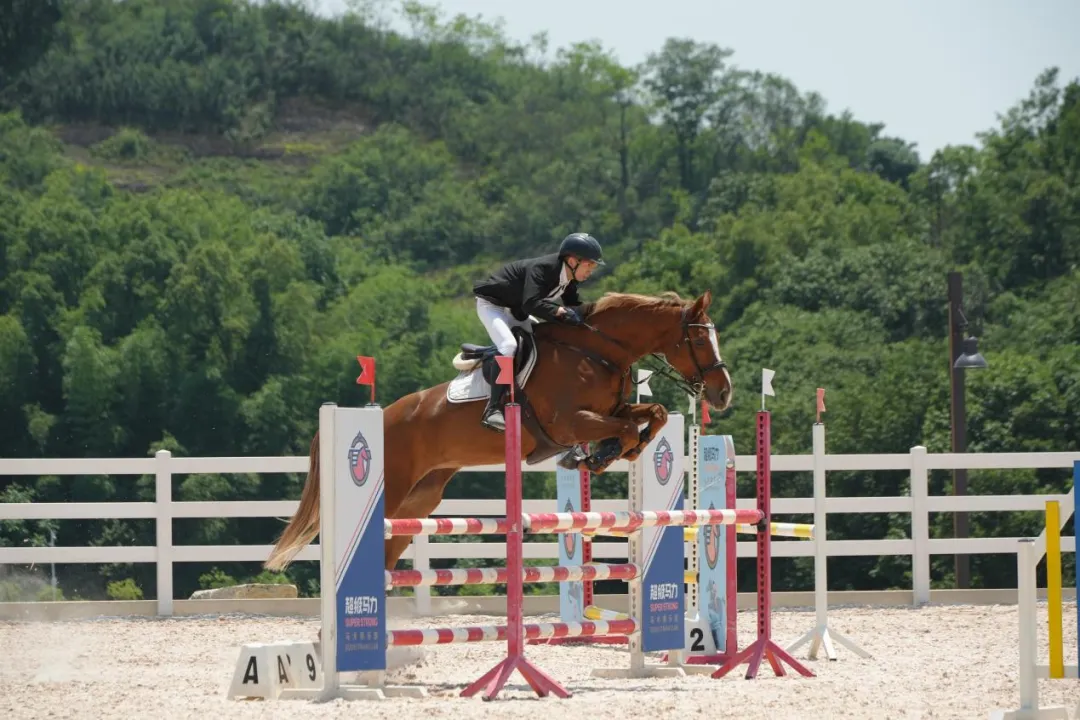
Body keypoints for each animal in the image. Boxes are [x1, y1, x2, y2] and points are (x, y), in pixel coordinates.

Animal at [263, 289, 733, 574]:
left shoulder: (608, 409)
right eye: (700, 341)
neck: (595, 350)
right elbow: (628, 425)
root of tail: (382, 414)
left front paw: (613, 451)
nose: (723, 392)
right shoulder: (569, 421)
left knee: (390, 548)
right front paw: (602, 453)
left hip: (422, 496)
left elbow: (653, 413)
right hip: (394, 486)